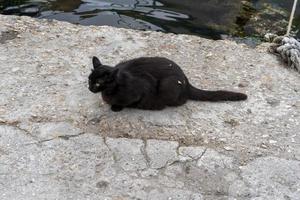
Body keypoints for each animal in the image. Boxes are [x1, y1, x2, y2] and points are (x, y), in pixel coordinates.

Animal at [88, 56, 247, 111]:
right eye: (89, 80)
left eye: (98, 83)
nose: (89, 88)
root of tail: (186, 80)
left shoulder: (139, 89)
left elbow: (128, 101)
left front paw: (116, 107)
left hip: (168, 85)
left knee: (181, 101)